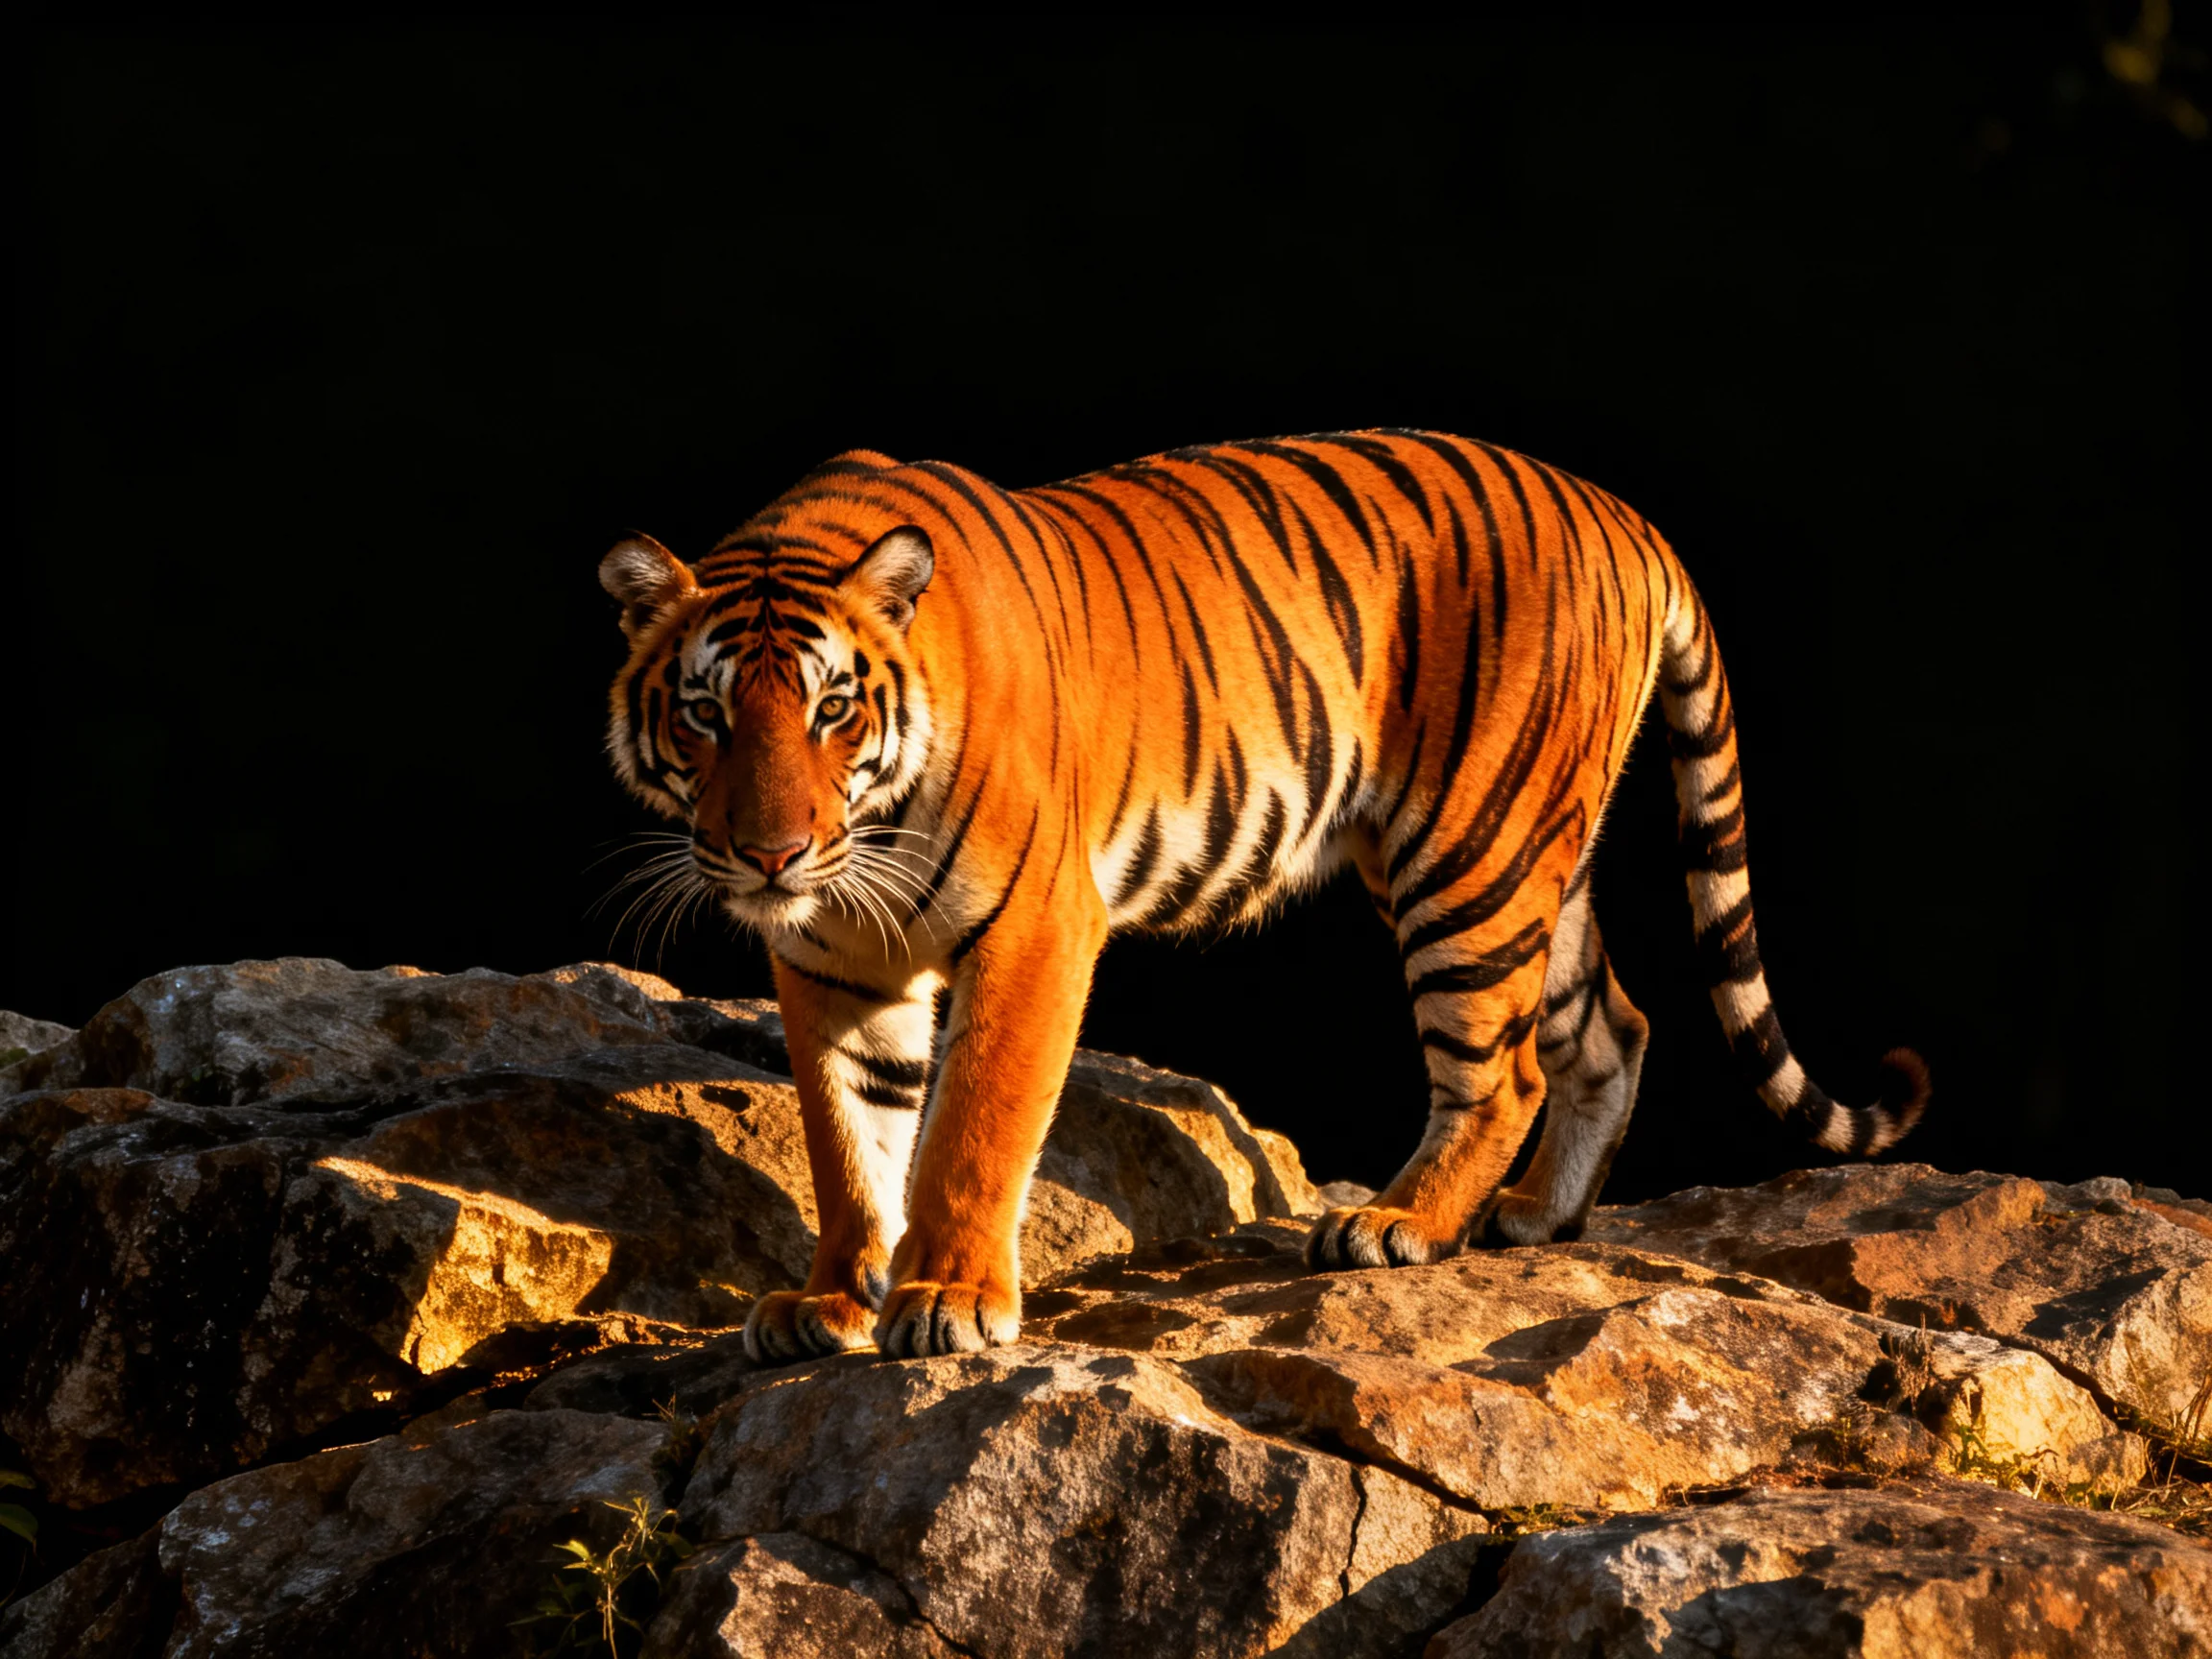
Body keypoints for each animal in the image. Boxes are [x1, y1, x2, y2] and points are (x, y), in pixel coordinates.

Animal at [598, 430, 1928, 1363]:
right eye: (707, 711)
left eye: (833, 708)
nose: (771, 855)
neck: (855, 850)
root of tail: (1625, 513)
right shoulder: (828, 962)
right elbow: (847, 1137)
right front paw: (829, 1300)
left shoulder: (1035, 925)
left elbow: (974, 1123)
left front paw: (949, 1295)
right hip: (1524, 860)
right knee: (1613, 1027)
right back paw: (1538, 1219)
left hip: (1471, 855)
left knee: (1503, 1071)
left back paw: (1399, 1224)